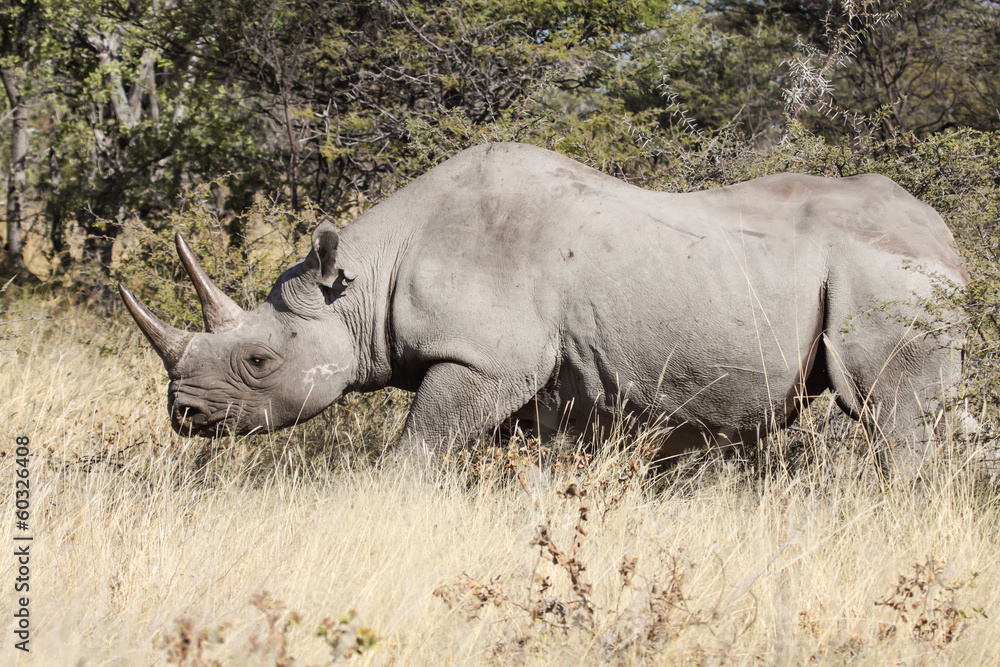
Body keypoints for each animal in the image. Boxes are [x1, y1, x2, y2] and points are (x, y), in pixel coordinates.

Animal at [119, 142, 968, 470]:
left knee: (893, 418)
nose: (184, 416)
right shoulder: (531, 375)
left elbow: (417, 448)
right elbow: (522, 459)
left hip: (888, 277)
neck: (366, 276)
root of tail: (947, 237)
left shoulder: (485, 357)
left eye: (259, 360)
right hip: (903, 277)